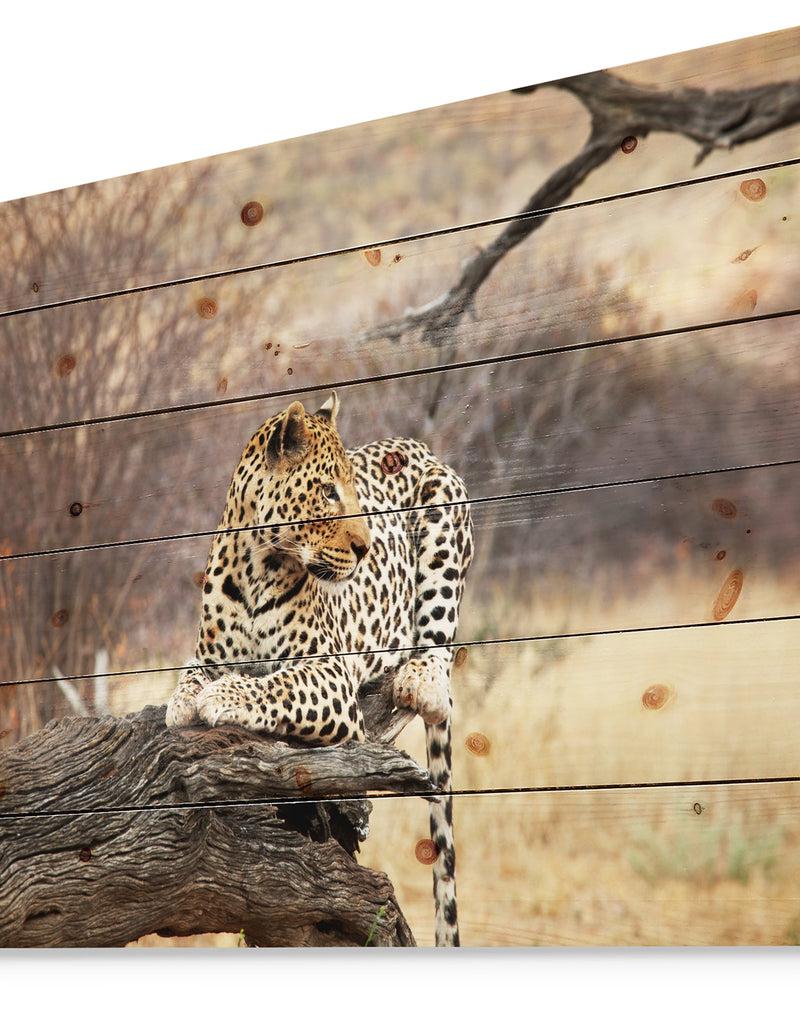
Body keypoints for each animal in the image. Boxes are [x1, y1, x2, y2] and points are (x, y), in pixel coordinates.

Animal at [165, 391, 473, 946]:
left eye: (351, 492)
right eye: (328, 492)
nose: (365, 547)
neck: (255, 564)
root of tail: (417, 444)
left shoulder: (327, 674)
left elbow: (277, 684)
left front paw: (223, 697)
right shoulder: (207, 654)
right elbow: (191, 676)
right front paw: (182, 702)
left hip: (445, 513)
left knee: (438, 643)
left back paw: (420, 678)